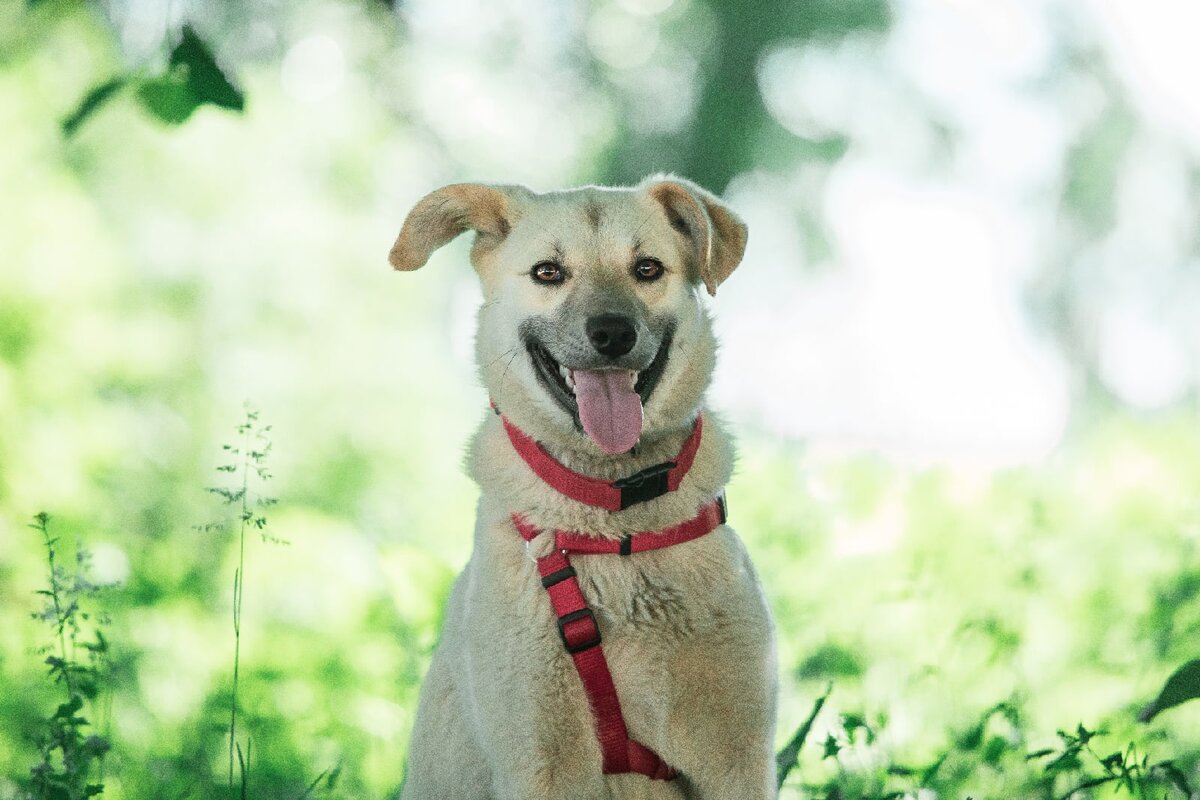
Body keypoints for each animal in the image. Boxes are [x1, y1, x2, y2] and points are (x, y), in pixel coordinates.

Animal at [391, 176, 777, 800]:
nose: (613, 333)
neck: (615, 512)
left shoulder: (737, 757)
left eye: (647, 268)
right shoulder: (539, 761)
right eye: (548, 272)